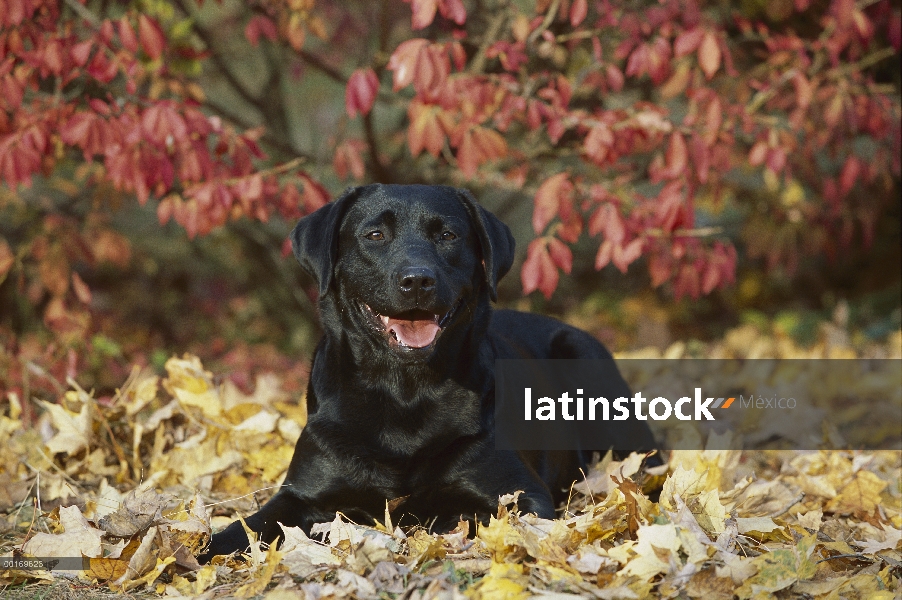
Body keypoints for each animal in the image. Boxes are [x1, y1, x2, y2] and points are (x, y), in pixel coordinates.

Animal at [201, 185, 660, 560]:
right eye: (375, 235)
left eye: (448, 236)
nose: (417, 280)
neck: (404, 391)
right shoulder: (301, 494)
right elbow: (243, 529)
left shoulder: (520, 496)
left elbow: (457, 514)